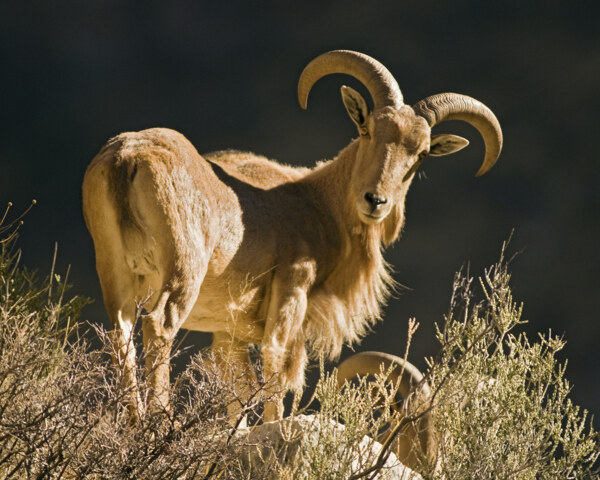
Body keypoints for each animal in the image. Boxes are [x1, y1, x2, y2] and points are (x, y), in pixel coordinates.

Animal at [81, 49, 502, 420]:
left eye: (423, 152)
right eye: (367, 129)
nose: (376, 200)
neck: (318, 201)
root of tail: (127, 159)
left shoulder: (228, 332)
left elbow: (238, 389)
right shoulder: (292, 293)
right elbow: (276, 370)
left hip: (113, 270)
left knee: (120, 331)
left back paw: (133, 420)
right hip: (184, 270)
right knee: (158, 325)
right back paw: (156, 421)